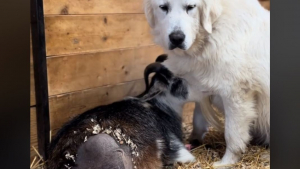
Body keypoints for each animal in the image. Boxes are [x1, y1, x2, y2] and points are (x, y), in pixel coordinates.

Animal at [143, 0, 270, 166]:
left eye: (190, 7)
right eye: (163, 7)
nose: (177, 38)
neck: (213, 33)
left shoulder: (236, 94)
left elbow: (232, 134)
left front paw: (225, 163)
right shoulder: (201, 89)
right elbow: (198, 118)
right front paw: (194, 140)